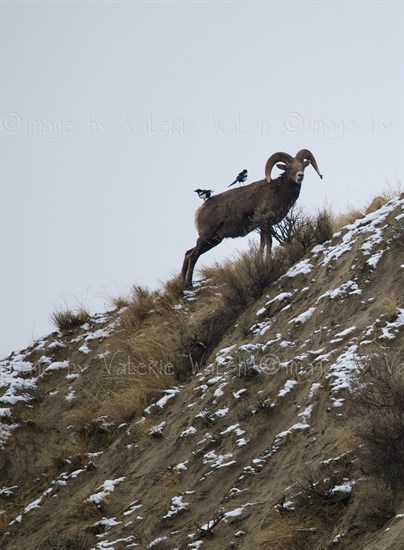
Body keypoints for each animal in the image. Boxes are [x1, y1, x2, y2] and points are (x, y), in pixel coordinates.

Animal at [181, 151, 324, 288]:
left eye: (302, 166)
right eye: (289, 167)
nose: (300, 175)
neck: (278, 190)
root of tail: (201, 208)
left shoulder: (262, 226)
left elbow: (262, 244)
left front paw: (261, 262)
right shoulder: (266, 224)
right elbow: (269, 242)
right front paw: (268, 262)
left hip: (214, 240)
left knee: (188, 254)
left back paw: (182, 284)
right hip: (207, 236)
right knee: (193, 256)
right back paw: (188, 285)